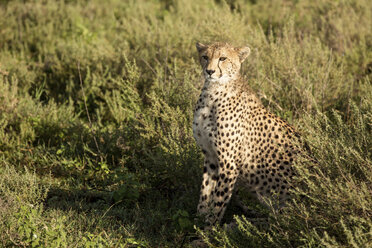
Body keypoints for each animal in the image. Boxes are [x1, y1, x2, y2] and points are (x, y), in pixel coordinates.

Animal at [193, 41, 300, 226]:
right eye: (205, 57)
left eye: (223, 58)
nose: (210, 71)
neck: (212, 92)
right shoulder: (211, 156)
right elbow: (205, 193)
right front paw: (198, 222)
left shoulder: (229, 163)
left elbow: (218, 201)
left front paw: (209, 229)